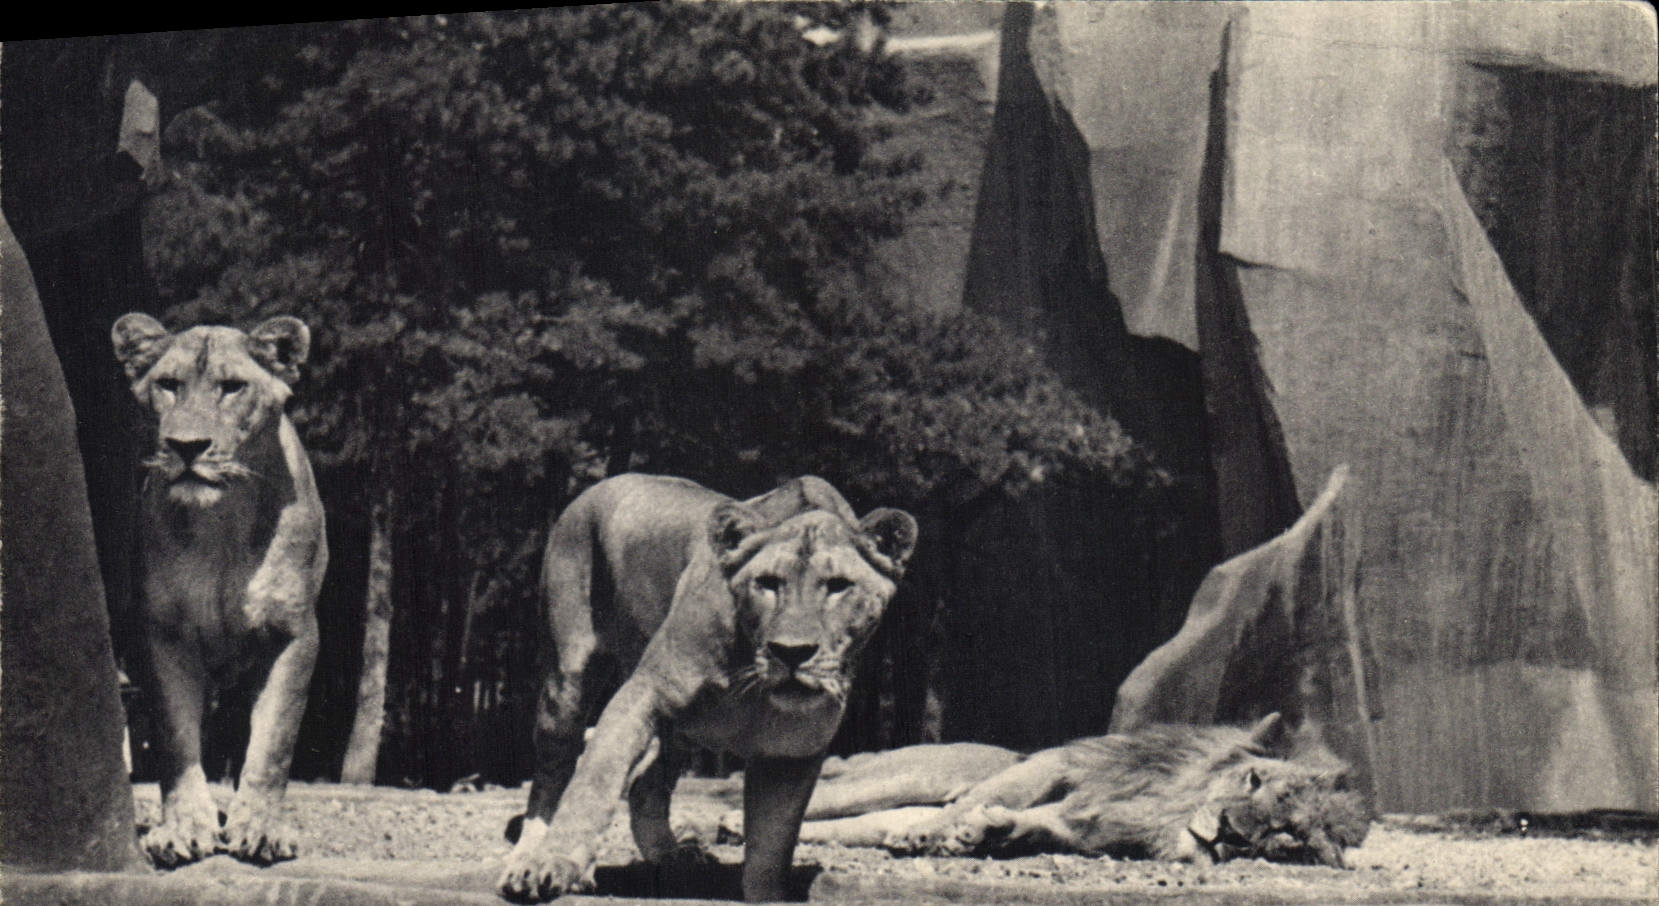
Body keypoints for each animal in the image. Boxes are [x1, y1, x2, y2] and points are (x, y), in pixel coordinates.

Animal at [112, 313, 327, 868]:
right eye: (169, 385)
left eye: (232, 387)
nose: (187, 446)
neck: (222, 524)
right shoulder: (162, 636)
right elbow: (175, 740)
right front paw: (184, 828)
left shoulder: (293, 633)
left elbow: (274, 743)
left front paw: (261, 828)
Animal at [498, 473, 918, 903]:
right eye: (768, 583)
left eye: (838, 586)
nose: (791, 652)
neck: (755, 685)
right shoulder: (642, 694)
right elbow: (593, 785)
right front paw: (552, 864)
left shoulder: (793, 749)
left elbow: (772, 843)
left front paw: (767, 893)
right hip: (567, 678)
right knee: (552, 777)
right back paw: (531, 860)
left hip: (681, 733)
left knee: (646, 783)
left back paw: (672, 856)